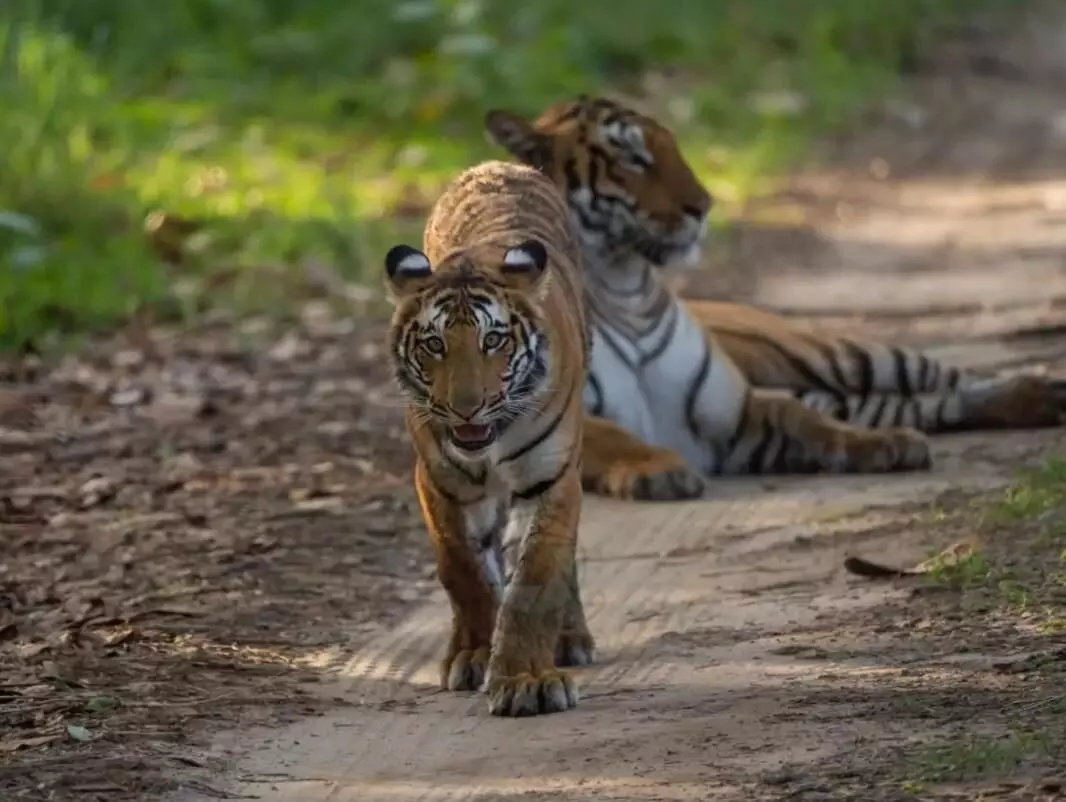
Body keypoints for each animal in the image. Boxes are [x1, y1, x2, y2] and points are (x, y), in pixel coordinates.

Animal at [486, 97, 1066, 501]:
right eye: (632, 157)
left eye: (672, 146)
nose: (704, 205)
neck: (626, 288)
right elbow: (618, 437)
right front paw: (662, 469)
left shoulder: (737, 410)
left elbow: (804, 419)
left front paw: (877, 445)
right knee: (923, 403)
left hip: (844, 356)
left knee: (945, 381)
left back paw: (1041, 392)